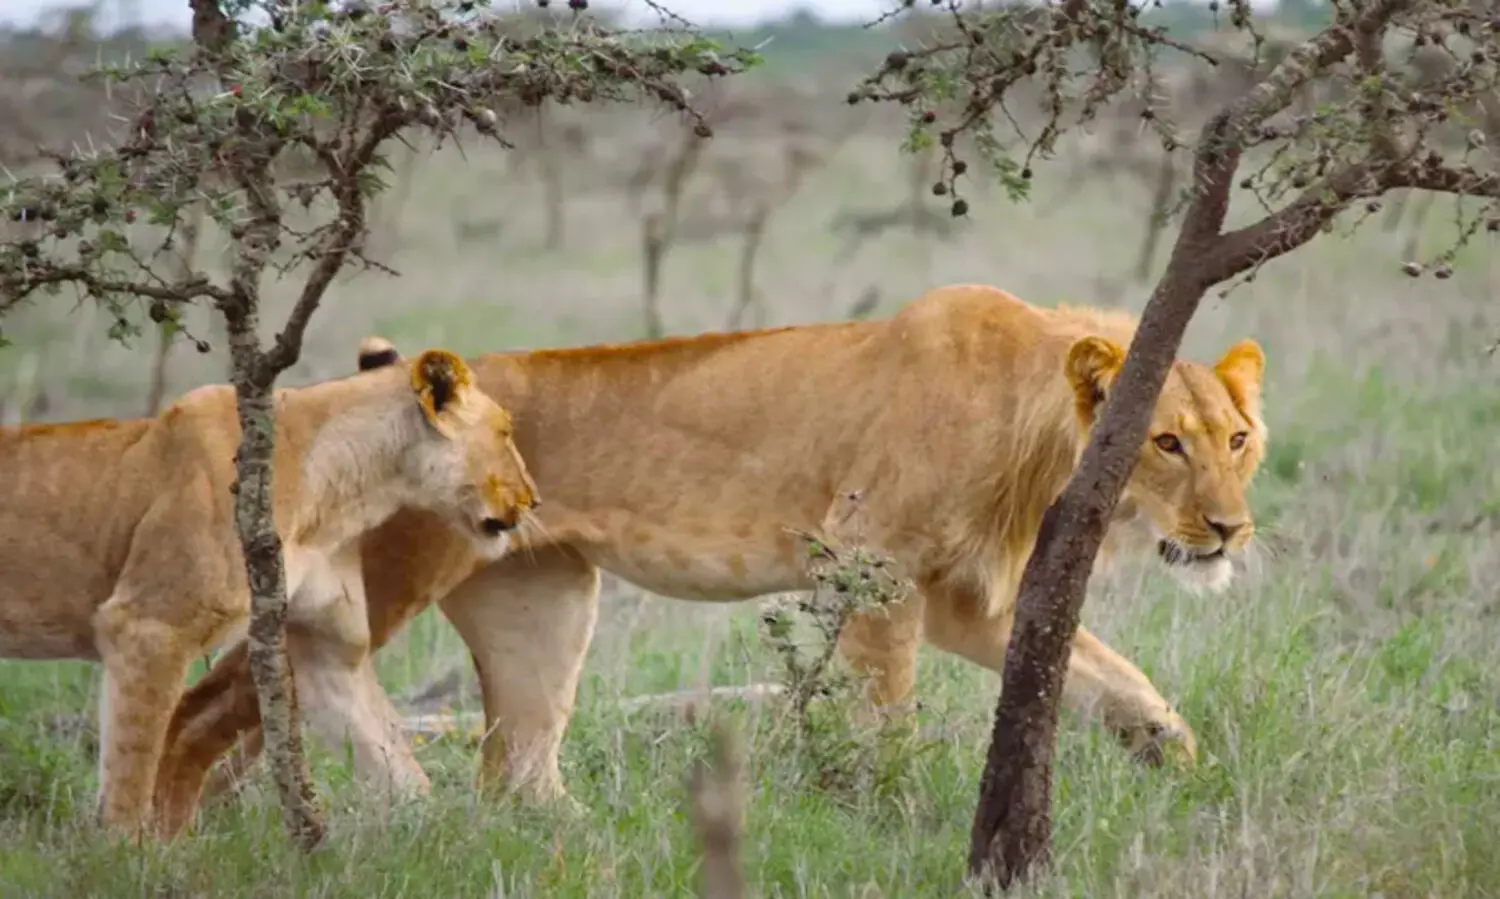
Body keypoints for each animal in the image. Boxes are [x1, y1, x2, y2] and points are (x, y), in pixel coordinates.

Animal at [0, 347, 538, 837]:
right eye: (505, 432)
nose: (534, 500)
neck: (340, 486)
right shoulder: (146, 626)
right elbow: (130, 772)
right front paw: (124, 862)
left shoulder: (326, 645)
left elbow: (391, 758)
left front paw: (446, 839)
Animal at [151, 283, 1266, 836]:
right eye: (1167, 442)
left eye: (1237, 439)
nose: (1228, 530)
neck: (1035, 426)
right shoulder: (875, 565)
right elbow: (888, 715)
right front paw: (893, 812)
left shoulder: (961, 598)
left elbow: (1105, 669)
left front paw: (1174, 751)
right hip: (388, 572)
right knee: (224, 698)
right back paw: (170, 836)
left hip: (543, 597)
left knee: (514, 767)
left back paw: (578, 837)